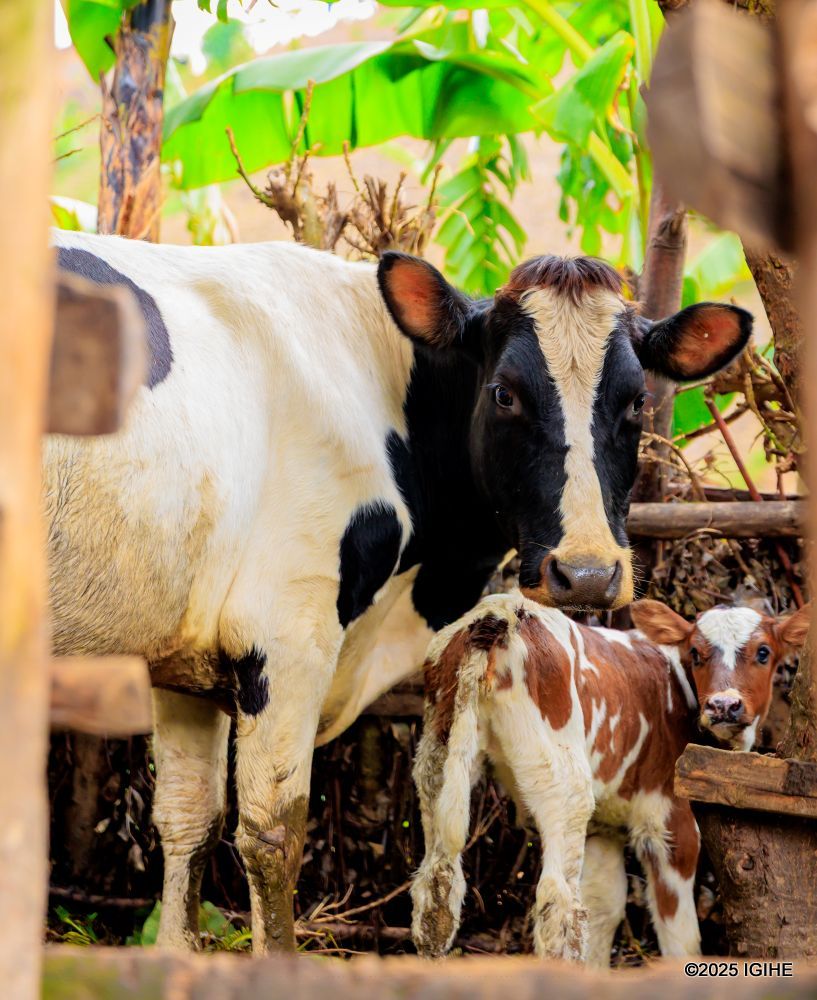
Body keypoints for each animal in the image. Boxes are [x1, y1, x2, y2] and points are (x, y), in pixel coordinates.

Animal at [49, 230, 750, 952]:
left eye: (637, 402)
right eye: (503, 393)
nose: (586, 571)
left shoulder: (186, 658)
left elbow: (188, 819)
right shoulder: (286, 638)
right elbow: (272, 836)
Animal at [411, 593, 810, 964]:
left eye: (763, 652)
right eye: (696, 653)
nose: (724, 705)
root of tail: (498, 614)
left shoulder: (603, 827)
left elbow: (604, 909)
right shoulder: (670, 817)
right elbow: (679, 935)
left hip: (437, 756)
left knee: (435, 891)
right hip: (565, 784)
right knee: (558, 906)